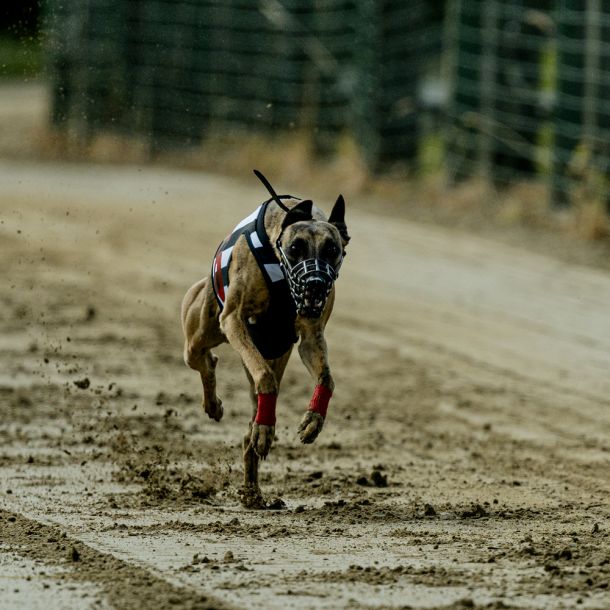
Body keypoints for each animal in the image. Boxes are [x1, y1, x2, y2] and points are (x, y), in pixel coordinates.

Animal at [181, 170, 350, 507]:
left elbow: (326, 378)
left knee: (251, 417)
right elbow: (265, 378)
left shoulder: (311, 336)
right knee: (205, 360)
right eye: (296, 247)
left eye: (332, 250)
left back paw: (253, 486)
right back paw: (215, 406)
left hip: (273, 354)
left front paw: (313, 420)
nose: (315, 284)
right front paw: (264, 427)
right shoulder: (233, 320)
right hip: (200, 333)